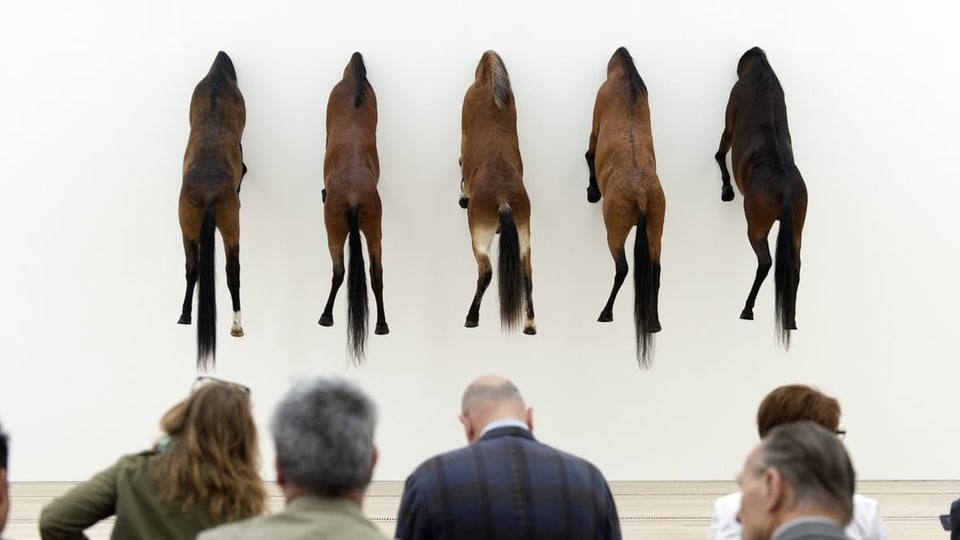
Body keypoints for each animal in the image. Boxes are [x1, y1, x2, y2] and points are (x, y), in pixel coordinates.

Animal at [456, 52, 536, 336]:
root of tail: (502, 199)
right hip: (524, 235)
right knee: (527, 275)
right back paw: (530, 324)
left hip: (479, 238)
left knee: (486, 273)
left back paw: (471, 317)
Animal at [584, 47, 668, 368]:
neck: (627, 86)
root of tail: (641, 194)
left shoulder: (594, 126)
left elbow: (588, 154)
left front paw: (592, 191)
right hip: (656, 231)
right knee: (655, 271)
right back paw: (654, 322)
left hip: (615, 234)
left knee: (622, 268)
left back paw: (605, 312)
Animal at [716, 47, 808, 350]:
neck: (762, 75)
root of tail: (786, 191)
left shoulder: (728, 122)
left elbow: (719, 154)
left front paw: (727, 190)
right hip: (797, 228)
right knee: (795, 266)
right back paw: (790, 319)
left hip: (756, 227)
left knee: (766, 262)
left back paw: (748, 309)